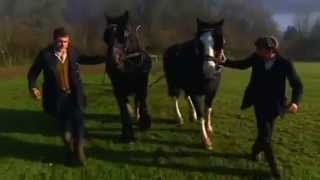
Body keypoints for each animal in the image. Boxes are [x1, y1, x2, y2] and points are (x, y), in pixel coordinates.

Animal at [103, 11, 152, 143]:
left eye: (125, 35)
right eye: (106, 37)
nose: (113, 62)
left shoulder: (142, 83)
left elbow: (142, 99)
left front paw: (145, 122)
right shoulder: (118, 89)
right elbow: (124, 109)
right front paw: (127, 134)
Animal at [164, 19, 226, 150]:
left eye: (220, 41)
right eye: (199, 43)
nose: (209, 69)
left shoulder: (212, 92)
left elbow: (208, 109)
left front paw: (209, 127)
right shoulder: (195, 91)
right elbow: (201, 113)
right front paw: (205, 140)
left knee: (186, 96)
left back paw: (192, 115)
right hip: (172, 82)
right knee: (175, 98)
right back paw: (179, 117)